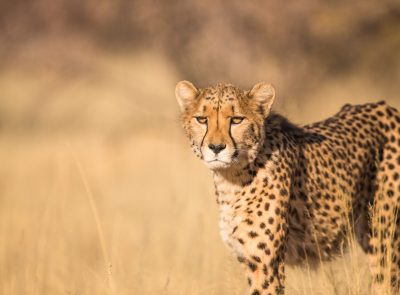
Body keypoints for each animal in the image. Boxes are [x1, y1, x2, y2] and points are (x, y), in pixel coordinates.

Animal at [174, 81, 400, 295]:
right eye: (202, 119)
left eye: (237, 119)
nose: (216, 148)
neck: (232, 178)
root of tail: (386, 107)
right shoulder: (248, 258)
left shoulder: (266, 264)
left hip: (384, 241)